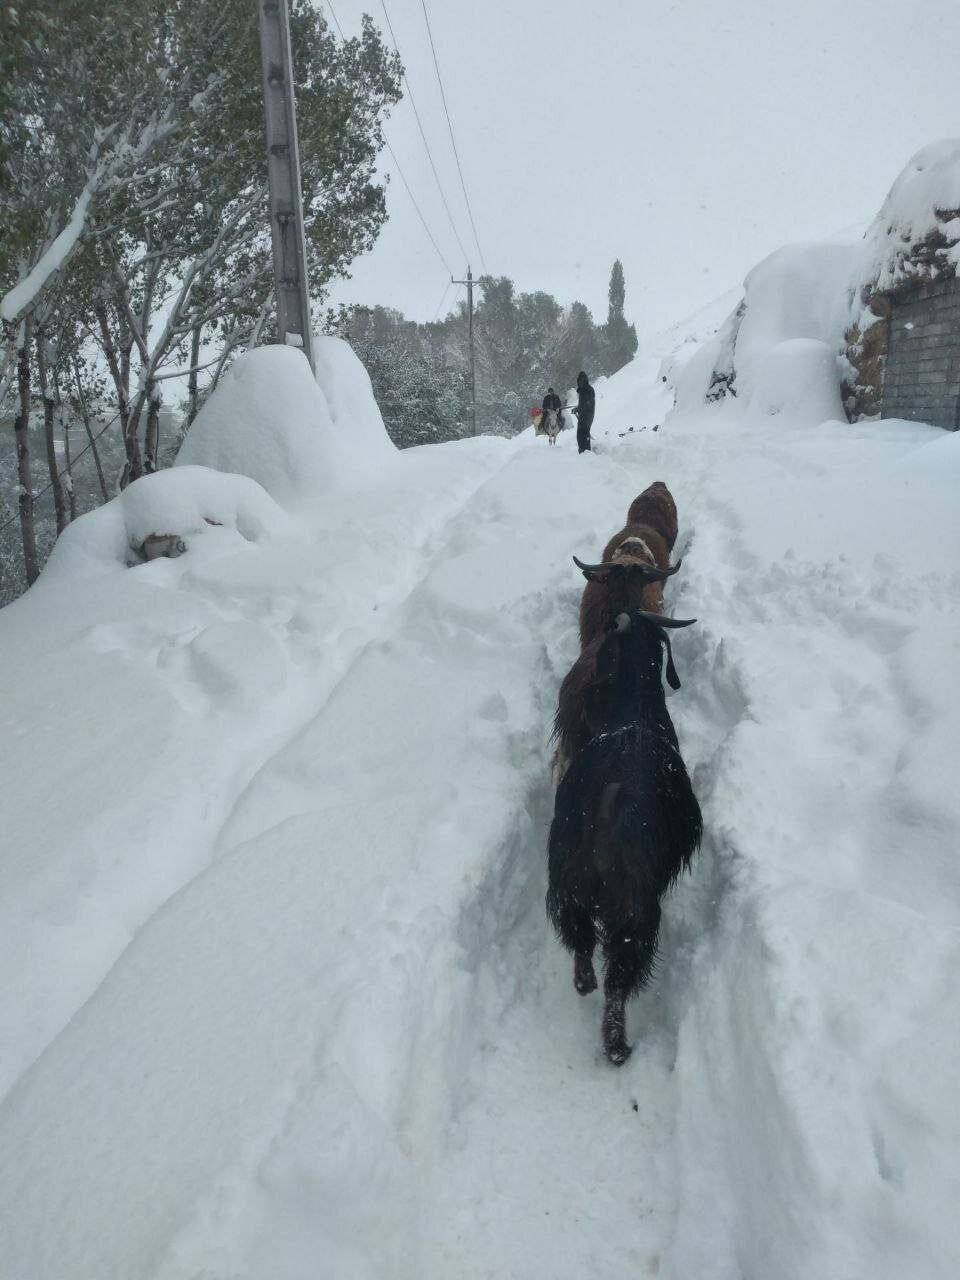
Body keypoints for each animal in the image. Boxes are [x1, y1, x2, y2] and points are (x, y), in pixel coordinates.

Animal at [547, 604, 701, 1064]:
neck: (632, 710)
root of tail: (605, 809)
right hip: (636, 909)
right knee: (618, 980)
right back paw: (617, 1046)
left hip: (567, 884)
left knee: (580, 942)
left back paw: (584, 983)